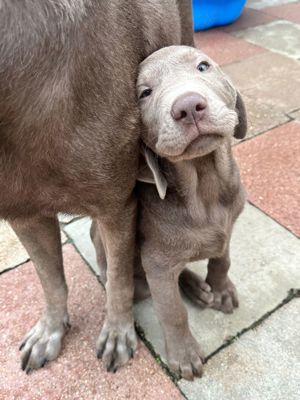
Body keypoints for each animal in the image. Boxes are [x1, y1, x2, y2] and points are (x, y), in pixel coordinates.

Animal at [135, 45, 246, 380]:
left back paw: (198, 288)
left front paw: (221, 290)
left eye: (203, 67)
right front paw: (184, 354)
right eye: (145, 93)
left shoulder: (228, 226)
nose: (188, 107)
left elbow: (222, 259)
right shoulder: (156, 262)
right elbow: (172, 310)